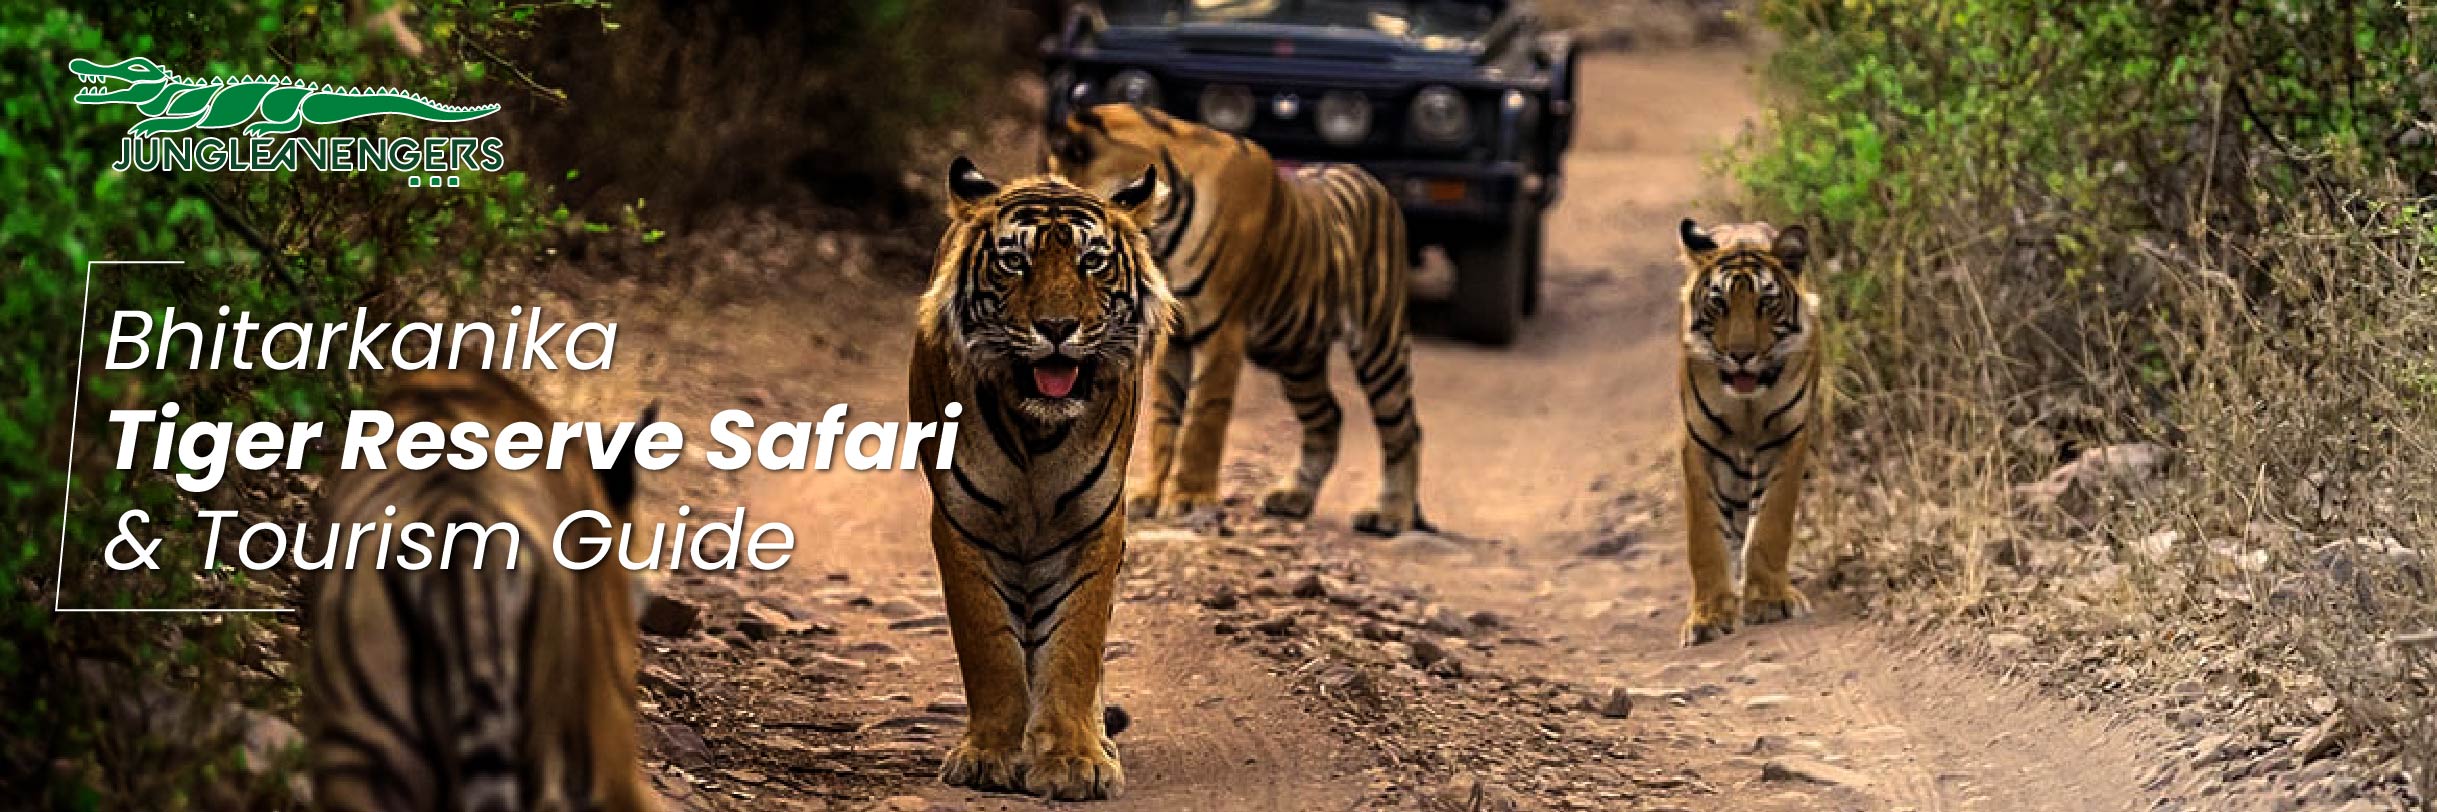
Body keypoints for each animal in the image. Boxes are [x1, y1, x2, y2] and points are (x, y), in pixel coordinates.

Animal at [909, 155, 1170, 800]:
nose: (1056, 327)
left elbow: (1076, 646)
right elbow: (990, 648)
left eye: (1091, 261)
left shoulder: (1096, 525)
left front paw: (1076, 760)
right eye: (1015, 262)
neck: (1037, 432)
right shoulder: (963, 525)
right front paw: (990, 755)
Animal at [1048, 103, 1429, 536]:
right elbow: (1164, 417)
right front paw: (1149, 495)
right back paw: (1294, 496)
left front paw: (1190, 498)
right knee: (1327, 416)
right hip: (1297, 359)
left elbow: (1203, 418)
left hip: (1379, 342)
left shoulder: (1222, 331)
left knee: (1403, 428)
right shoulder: (1174, 338)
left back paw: (1390, 514)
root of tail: (1376, 183)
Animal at [1674, 219, 1821, 646]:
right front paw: (1707, 617)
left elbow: (1772, 522)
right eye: (1718, 304)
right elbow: (1705, 538)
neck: (1748, 403)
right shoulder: (1700, 444)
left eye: (1765, 303)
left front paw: (1770, 601)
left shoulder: (1788, 438)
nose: (1741, 355)